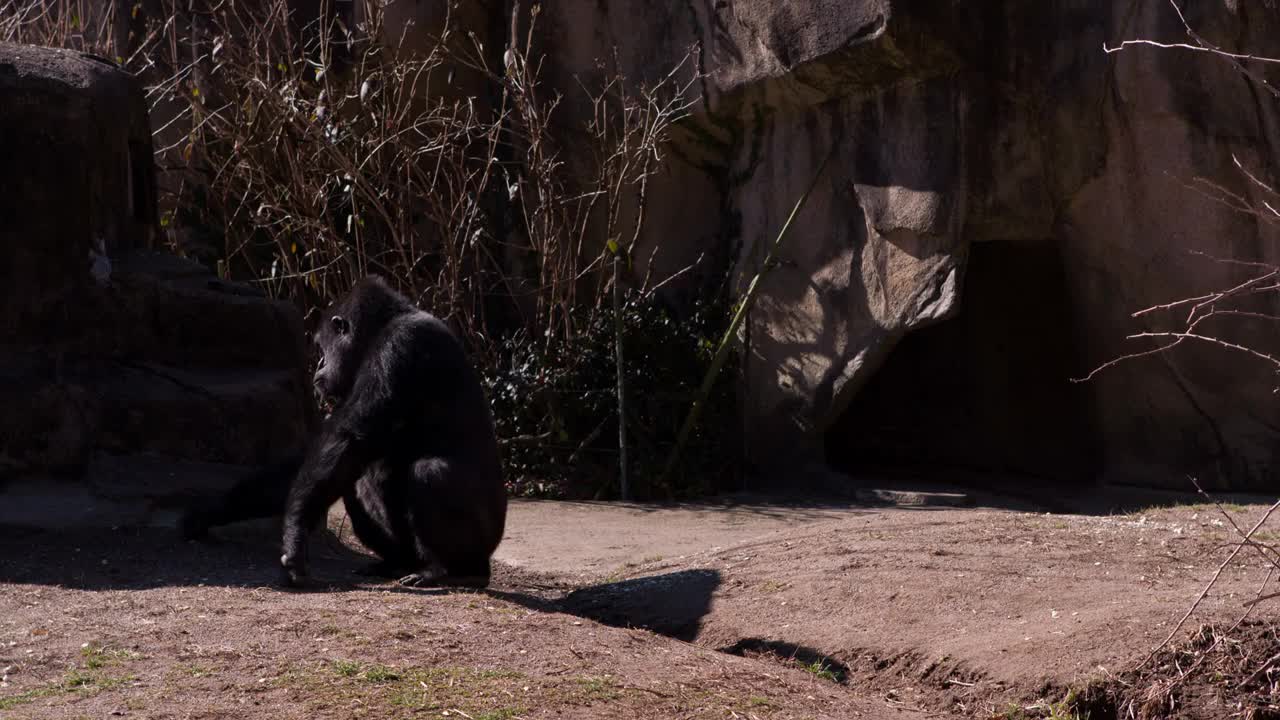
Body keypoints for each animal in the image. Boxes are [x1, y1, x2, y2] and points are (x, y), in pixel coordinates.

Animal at [183, 271, 506, 586]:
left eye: (322, 346)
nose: (319, 364)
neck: (382, 327)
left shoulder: (399, 347)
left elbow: (350, 438)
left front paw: (295, 535)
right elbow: (323, 454)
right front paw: (214, 509)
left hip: (484, 541)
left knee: (430, 474)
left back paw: (448, 569)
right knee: (357, 481)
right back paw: (397, 562)